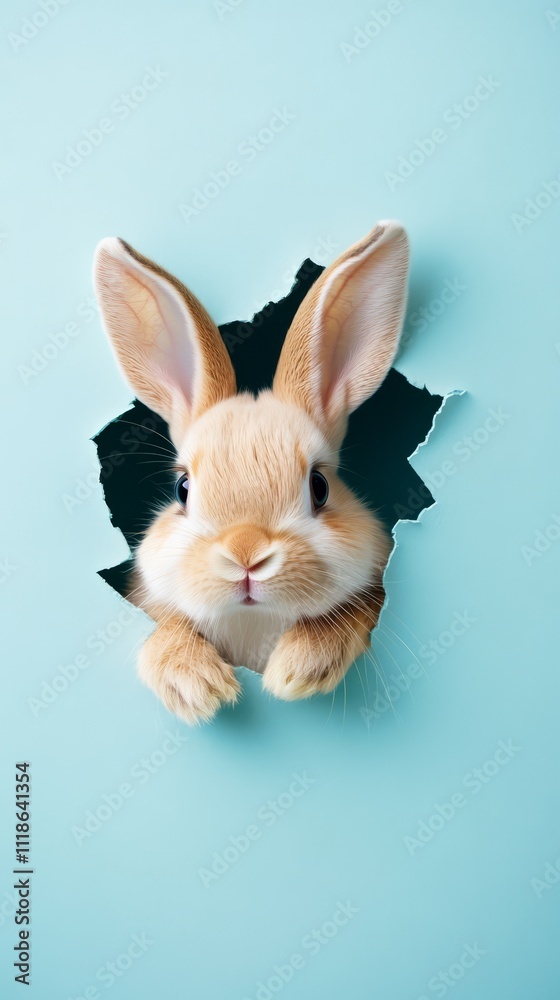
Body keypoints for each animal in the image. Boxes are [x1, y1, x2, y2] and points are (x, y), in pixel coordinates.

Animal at [93, 220, 410, 724]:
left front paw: (296, 672)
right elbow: (168, 633)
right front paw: (199, 687)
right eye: (183, 489)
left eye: (320, 486)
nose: (246, 556)